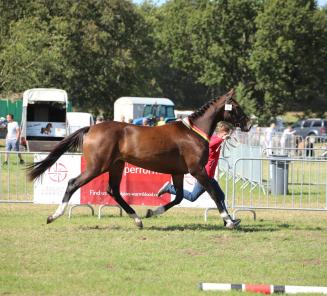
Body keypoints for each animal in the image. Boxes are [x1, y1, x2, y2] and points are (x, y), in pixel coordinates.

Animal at [29, 90, 252, 229]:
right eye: (236, 107)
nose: (248, 124)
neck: (193, 133)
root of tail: (91, 128)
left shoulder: (178, 172)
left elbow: (179, 197)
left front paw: (152, 212)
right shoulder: (197, 170)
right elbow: (214, 193)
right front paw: (229, 221)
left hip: (116, 166)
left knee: (113, 190)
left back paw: (138, 219)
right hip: (96, 167)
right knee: (73, 183)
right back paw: (53, 216)